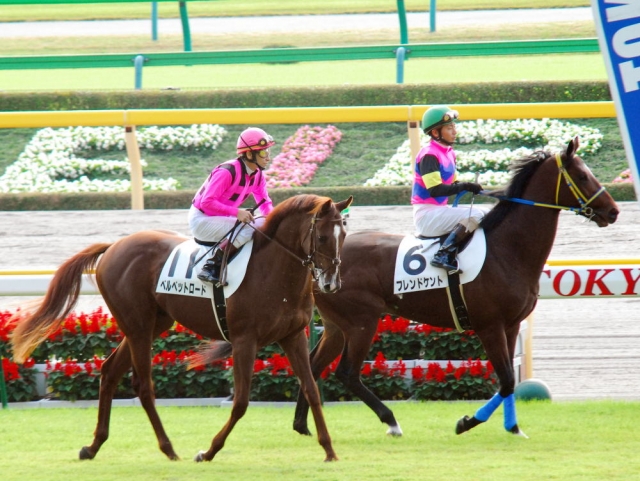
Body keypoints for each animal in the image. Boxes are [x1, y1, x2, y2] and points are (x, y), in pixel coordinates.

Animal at [11, 193, 353, 462]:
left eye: (344, 236)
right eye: (323, 237)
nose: (331, 284)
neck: (273, 270)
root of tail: (113, 246)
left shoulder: (293, 336)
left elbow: (311, 389)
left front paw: (329, 450)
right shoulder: (245, 339)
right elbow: (241, 402)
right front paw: (208, 451)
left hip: (150, 324)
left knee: (109, 371)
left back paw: (93, 446)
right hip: (138, 326)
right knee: (143, 385)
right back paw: (168, 448)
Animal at [292, 137, 619, 438]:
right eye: (582, 176)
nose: (613, 211)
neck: (507, 250)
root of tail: (320, 264)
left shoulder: (511, 325)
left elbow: (509, 382)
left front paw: (513, 427)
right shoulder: (489, 326)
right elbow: (506, 380)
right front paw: (467, 422)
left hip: (337, 325)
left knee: (312, 366)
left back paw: (301, 425)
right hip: (362, 321)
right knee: (347, 372)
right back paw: (391, 421)